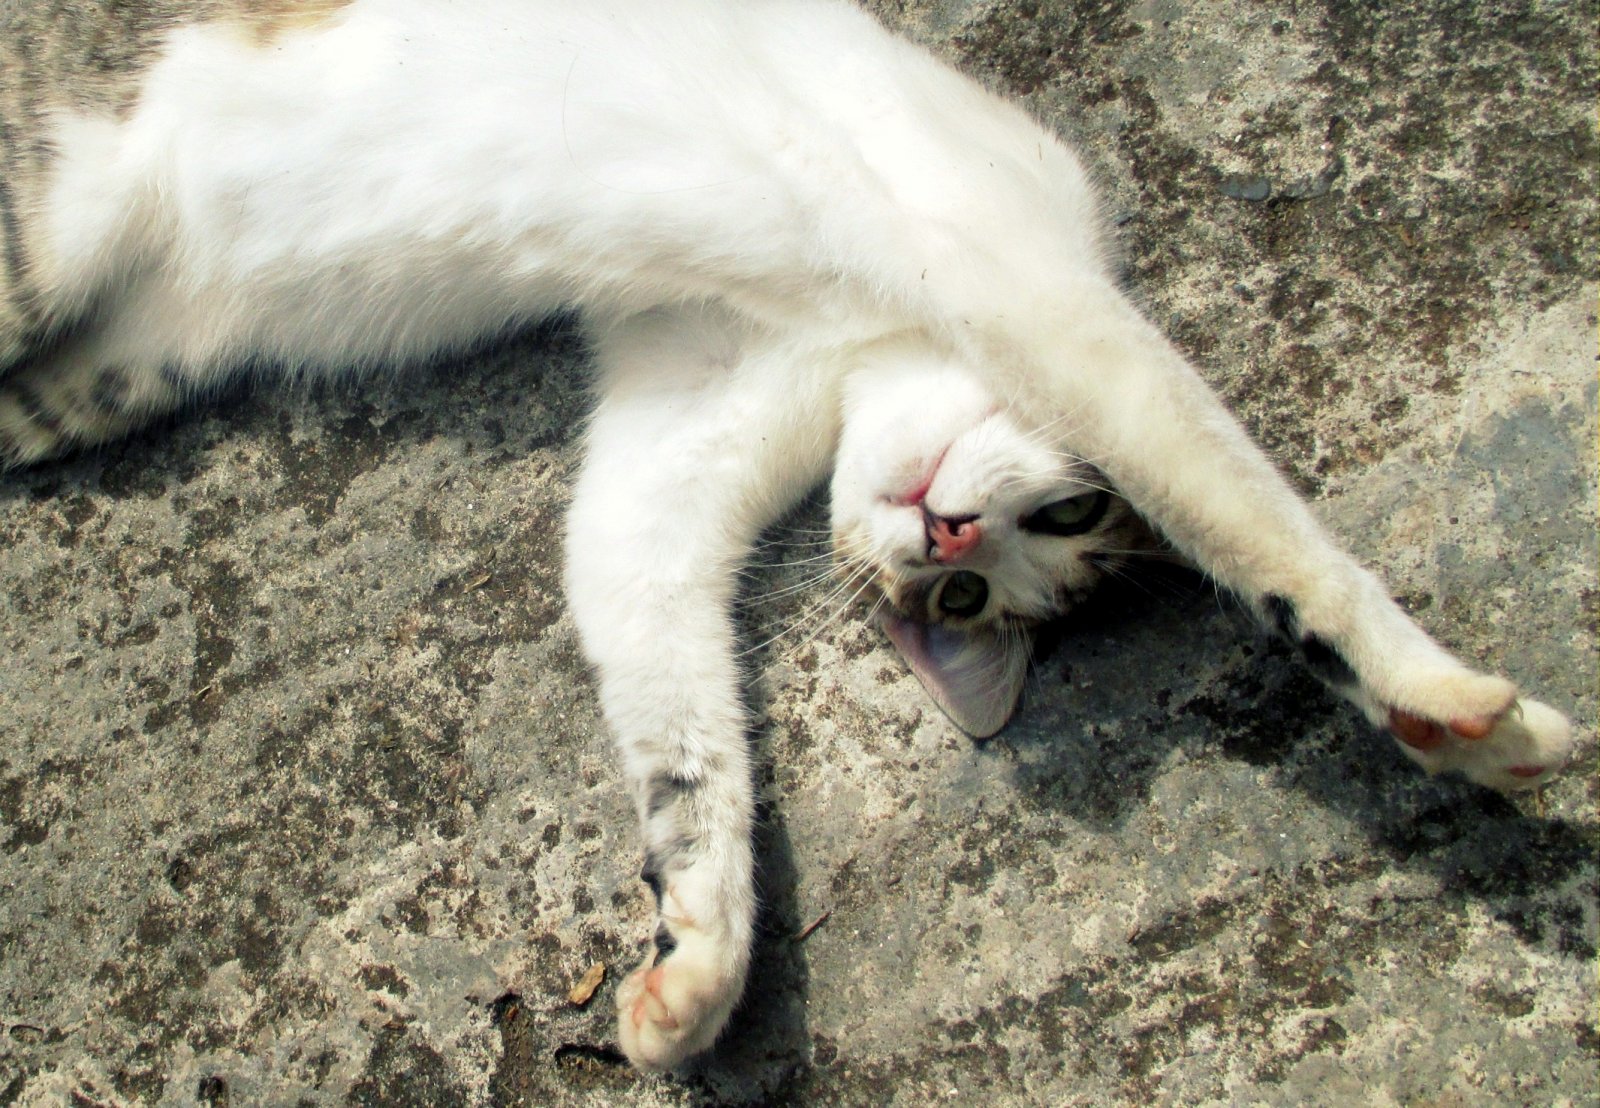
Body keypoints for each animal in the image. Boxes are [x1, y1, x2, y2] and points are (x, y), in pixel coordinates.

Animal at [0, 0, 1574, 1075]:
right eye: (1059, 517)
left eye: (966, 601)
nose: (940, 531)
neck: (861, 344)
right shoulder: (1021, 278)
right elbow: (1244, 514)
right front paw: (1442, 705)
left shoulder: (693, 412)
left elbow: (677, 718)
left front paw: (697, 957)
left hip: (105, 358)